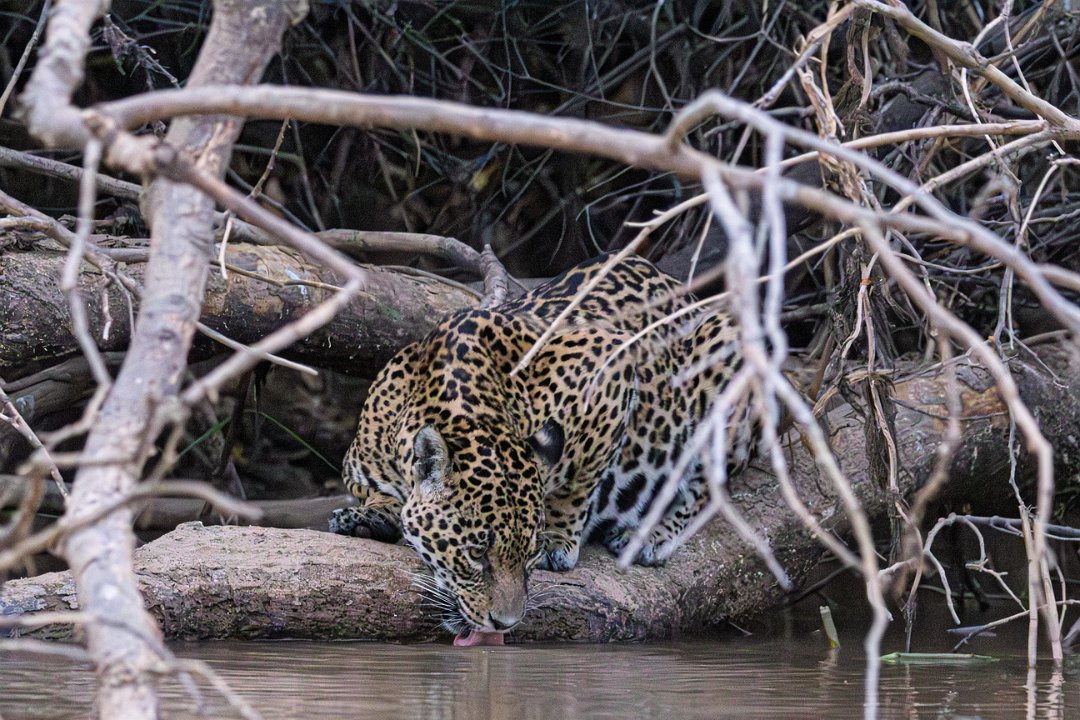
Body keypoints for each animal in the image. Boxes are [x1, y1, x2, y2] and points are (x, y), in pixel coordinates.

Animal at [329, 253, 753, 642]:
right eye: (476, 554)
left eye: (529, 554)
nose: (505, 623)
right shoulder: (359, 465)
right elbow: (375, 492)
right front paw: (371, 516)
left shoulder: (609, 365)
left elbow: (577, 483)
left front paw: (557, 538)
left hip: (727, 351)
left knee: (708, 484)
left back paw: (649, 535)